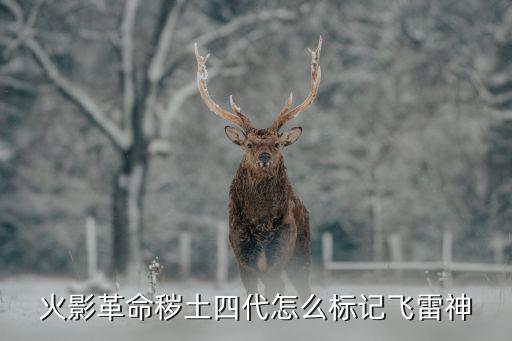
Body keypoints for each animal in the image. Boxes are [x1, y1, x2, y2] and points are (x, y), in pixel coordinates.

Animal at [194, 36, 322, 298]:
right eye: (249, 144)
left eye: (277, 143)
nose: (264, 156)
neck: (260, 222)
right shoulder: (242, 255)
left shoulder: (281, 249)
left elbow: (275, 289)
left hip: (302, 252)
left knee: (303, 288)